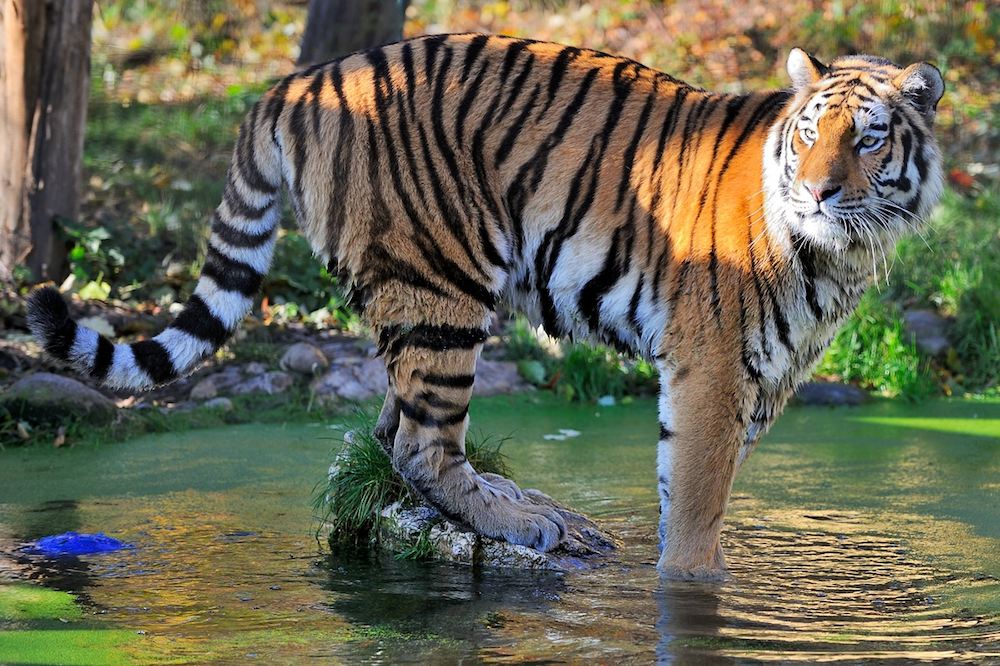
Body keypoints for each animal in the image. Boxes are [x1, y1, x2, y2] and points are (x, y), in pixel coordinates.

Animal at [28, 34, 944, 580]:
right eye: (812, 133)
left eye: (868, 138)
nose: (820, 192)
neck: (837, 255)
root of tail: (299, 81)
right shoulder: (713, 370)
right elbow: (694, 507)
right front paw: (692, 587)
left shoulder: (762, 382)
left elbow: (687, 492)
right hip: (443, 287)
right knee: (418, 447)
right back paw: (526, 523)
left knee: (387, 434)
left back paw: (534, 504)